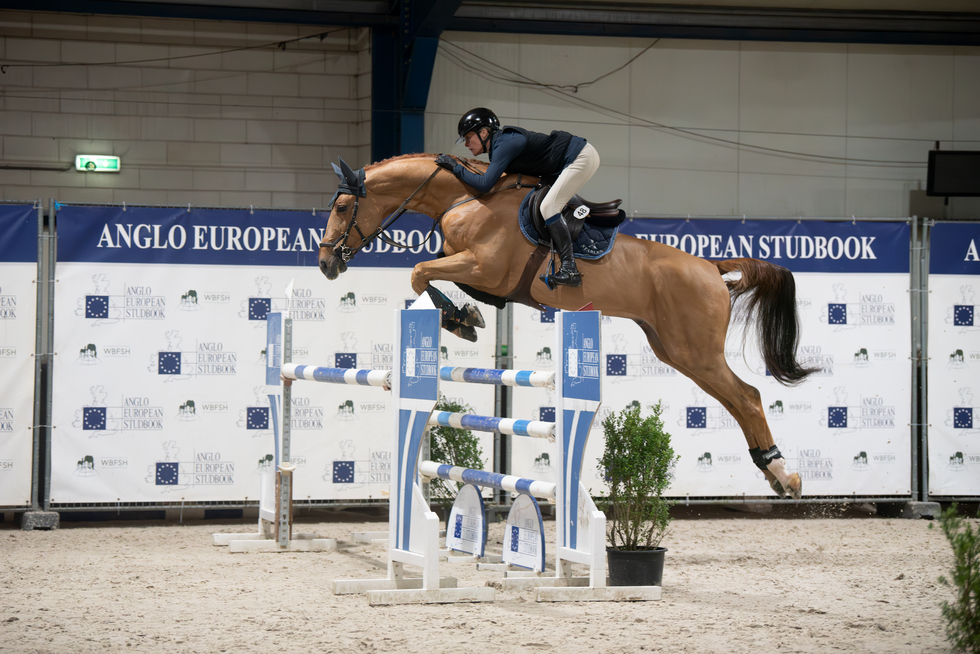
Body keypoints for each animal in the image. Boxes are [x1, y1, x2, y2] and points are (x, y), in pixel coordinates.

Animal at [318, 154, 817, 499]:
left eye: (341, 207)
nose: (326, 264)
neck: (465, 197)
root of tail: (711, 267)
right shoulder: (477, 273)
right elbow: (431, 272)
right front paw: (465, 316)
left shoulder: (485, 269)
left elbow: (420, 271)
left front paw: (460, 320)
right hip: (676, 351)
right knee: (736, 400)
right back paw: (774, 473)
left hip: (695, 350)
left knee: (747, 398)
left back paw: (785, 475)